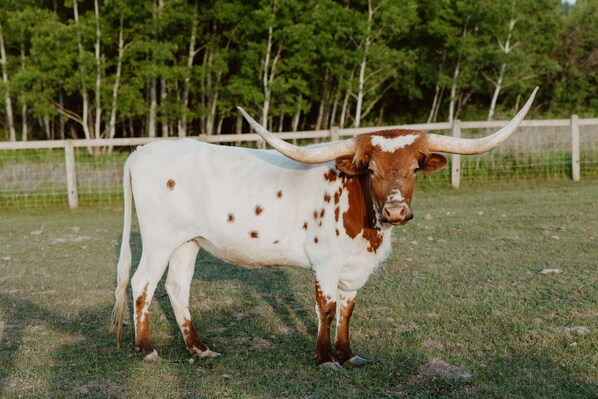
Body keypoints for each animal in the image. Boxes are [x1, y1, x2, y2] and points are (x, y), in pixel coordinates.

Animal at [111, 87, 540, 372]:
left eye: (415, 167)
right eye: (370, 168)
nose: (396, 210)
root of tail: (142, 152)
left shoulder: (354, 267)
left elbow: (348, 308)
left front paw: (349, 355)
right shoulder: (326, 262)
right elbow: (327, 307)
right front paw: (325, 359)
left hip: (188, 241)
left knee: (176, 288)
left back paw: (199, 349)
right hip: (160, 240)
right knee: (142, 283)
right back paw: (147, 350)